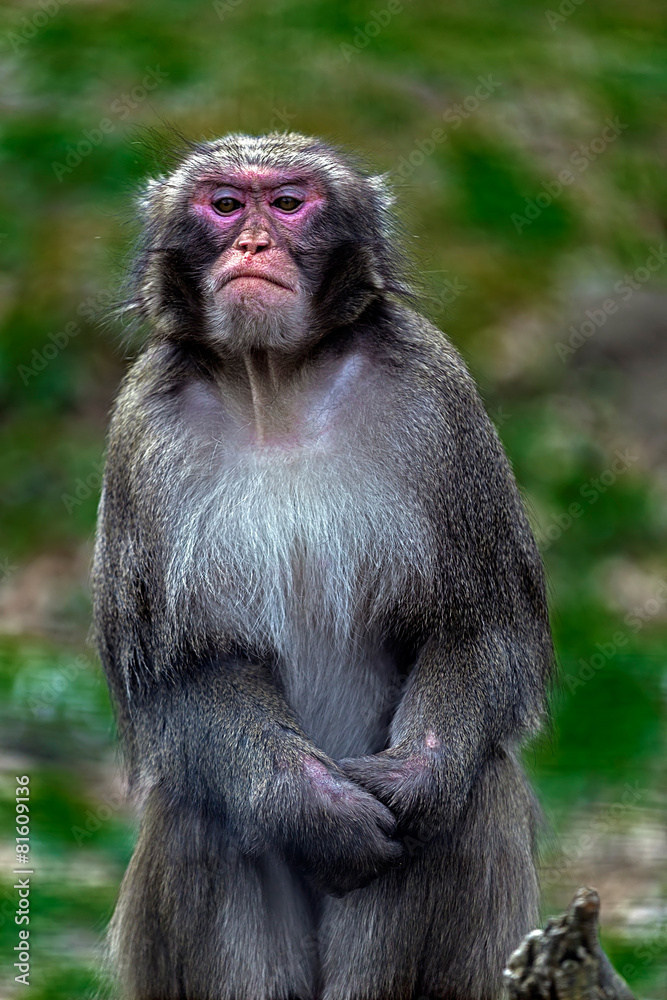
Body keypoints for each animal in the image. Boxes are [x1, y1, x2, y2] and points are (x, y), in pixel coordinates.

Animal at [92, 131, 554, 1000]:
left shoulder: (436, 391)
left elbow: (479, 631)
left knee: (470, 800)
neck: (275, 385)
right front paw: (307, 811)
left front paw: (415, 783)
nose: (252, 244)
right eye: (224, 204)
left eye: (288, 202)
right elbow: (184, 669)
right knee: (198, 809)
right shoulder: (141, 430)